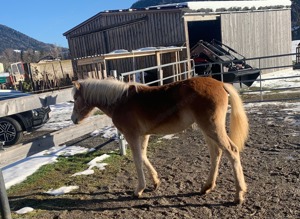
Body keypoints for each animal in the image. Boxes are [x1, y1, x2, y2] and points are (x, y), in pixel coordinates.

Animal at [71, 77, 248, 204]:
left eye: (75, 98)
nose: (73, 119)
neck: (120, 101)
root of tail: (221, 84)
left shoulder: (131, 135)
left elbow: (137, 159)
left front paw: (139, 190)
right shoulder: (144, 135)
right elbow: (143, 156)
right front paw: (155, 182)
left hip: (212, 128)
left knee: (231, 151)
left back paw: (238, 195)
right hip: (207, 130)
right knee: (216, 153)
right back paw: (207, 187)